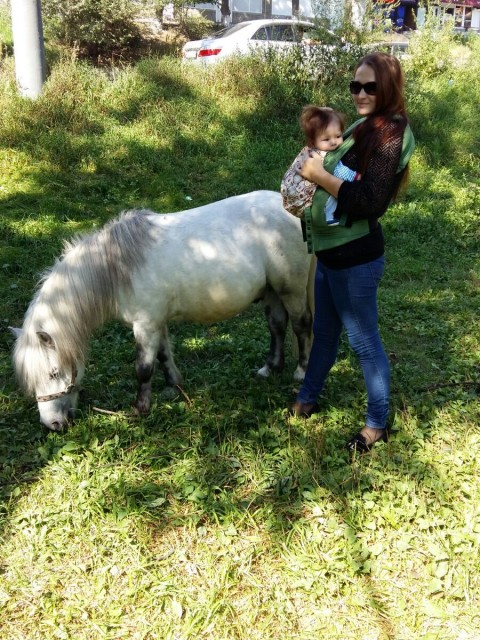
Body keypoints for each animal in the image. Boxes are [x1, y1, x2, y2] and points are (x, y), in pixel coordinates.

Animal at [11, 190, 314, 430]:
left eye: (53, 373)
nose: (52, 424)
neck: (118, 266)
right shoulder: (157, 323)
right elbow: (164, 355)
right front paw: (174, 387)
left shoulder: (145, 325)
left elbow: (144, 368)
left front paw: (140, 408)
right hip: (272, 291)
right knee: (277, 326)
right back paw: (269, 368)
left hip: (292, 289)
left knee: (301, 325)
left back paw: (301, 372)